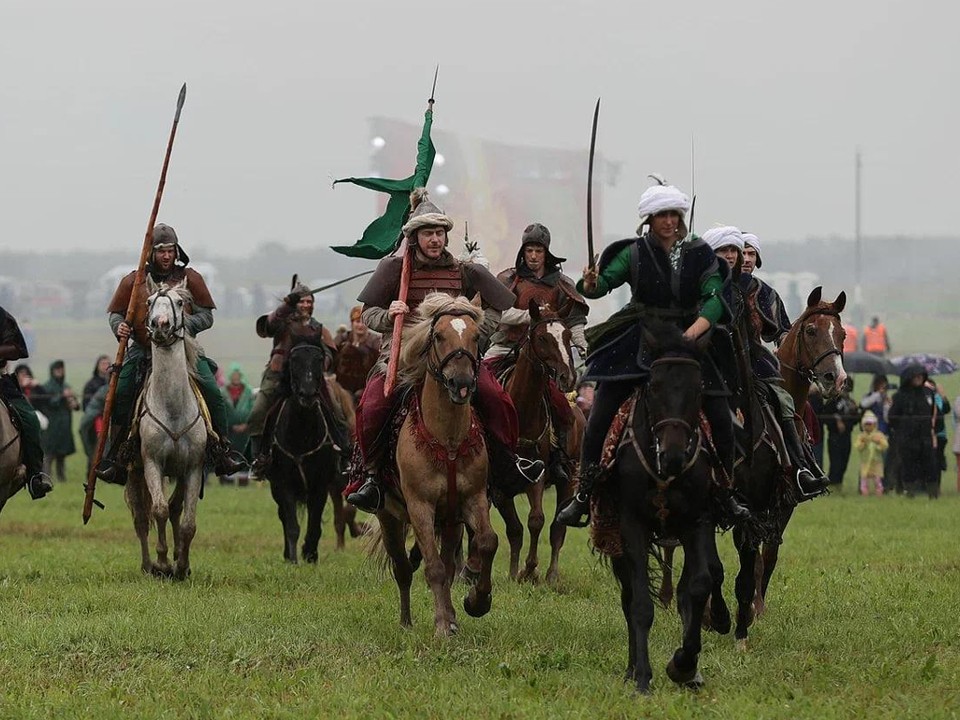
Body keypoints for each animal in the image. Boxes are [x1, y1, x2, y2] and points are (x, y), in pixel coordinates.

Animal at [124, 282, 208, 580]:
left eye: (179, 302)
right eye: (148, 301)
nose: (160, 325)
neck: (172, 407)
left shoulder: (193, 467)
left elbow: (188, 521)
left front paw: (181, 565)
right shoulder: (152, 463)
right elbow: (158, 510)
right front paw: (162, 563)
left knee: (175, 509)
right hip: (136, 472)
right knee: (141, 518)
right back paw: (148, 565)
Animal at [266, 344, 344, 564]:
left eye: (318, 360)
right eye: (294, 361)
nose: (307, 394)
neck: (301, 434)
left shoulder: (320, 486)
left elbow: (315, 525)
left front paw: (310, 554)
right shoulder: (284, 484)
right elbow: (292, 524)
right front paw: (292, 558)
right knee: (283, 516)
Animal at [374, 292, 498, 636]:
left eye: (476, 336)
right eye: (439, 336)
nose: (461, 383)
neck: (449, 441)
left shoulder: (473, 499)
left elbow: (487, 541)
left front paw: (476, 602)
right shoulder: (420, 506)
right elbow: (433, 568)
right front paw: (442, 625)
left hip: (450, 520)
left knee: (450, 561)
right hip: (389, 516)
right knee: (404, 568)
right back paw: (406, 622)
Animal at [600, 326, 728, 692]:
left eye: (698, 389)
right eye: (654, 386)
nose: (673, 456)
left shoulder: (697, 521)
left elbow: (698, 587)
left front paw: (683, 664)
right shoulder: (632, 526)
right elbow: (641, 604)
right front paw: (643, 677)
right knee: (629, 596)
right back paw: (631, 670)